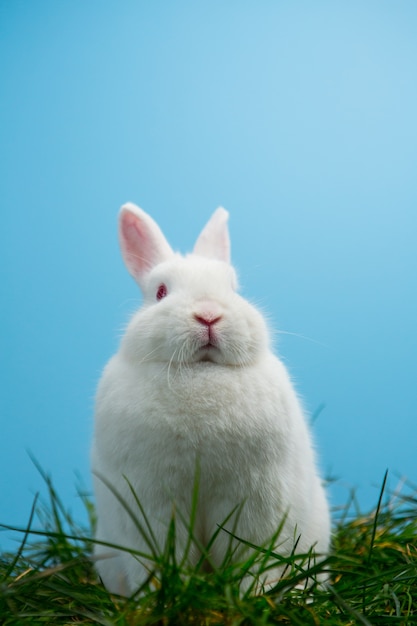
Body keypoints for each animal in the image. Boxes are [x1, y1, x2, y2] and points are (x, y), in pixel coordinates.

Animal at [91, 205, 328, 596]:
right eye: (160, 292)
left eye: (233, 288)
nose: (208, 315)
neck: (201, 372)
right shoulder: (151, 501)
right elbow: (157, 558)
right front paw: (164, 594)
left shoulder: (255, 498)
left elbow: (254, 555)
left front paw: (253, 594)